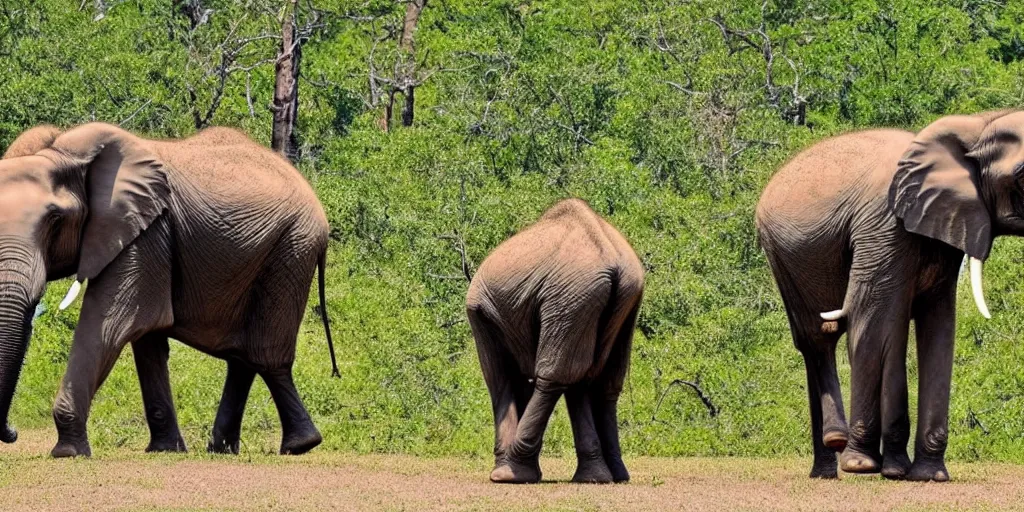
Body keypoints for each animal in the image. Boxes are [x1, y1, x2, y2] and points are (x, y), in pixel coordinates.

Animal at [0, 121, 339, 458]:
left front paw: (68, 452)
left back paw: (299, 445)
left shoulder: (145, 233)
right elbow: (147, 341)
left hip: (292, 248)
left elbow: (111, 325)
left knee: (266, 356)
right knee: (242, 358)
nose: (12, 433)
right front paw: (165, 449)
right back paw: (221, 450)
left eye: (55, 220)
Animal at [466, 197, 643, 481]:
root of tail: (609, 256)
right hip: (618, 298)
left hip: (570, 296)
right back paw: (606, 477)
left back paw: (512, 475)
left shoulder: (483, 315)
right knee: (599, 379)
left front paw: (503, 475)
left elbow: (499, 377)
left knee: (557, 375)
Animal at [753, 110, 1024, 481]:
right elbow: (878, 322)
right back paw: (838, 448)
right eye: (1022, 175)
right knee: (817, 337)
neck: (975, 126)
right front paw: (866, 466)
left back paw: (830, 471)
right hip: (782, 257)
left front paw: (927, 475)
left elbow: (938, 326)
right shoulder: (885, 226)